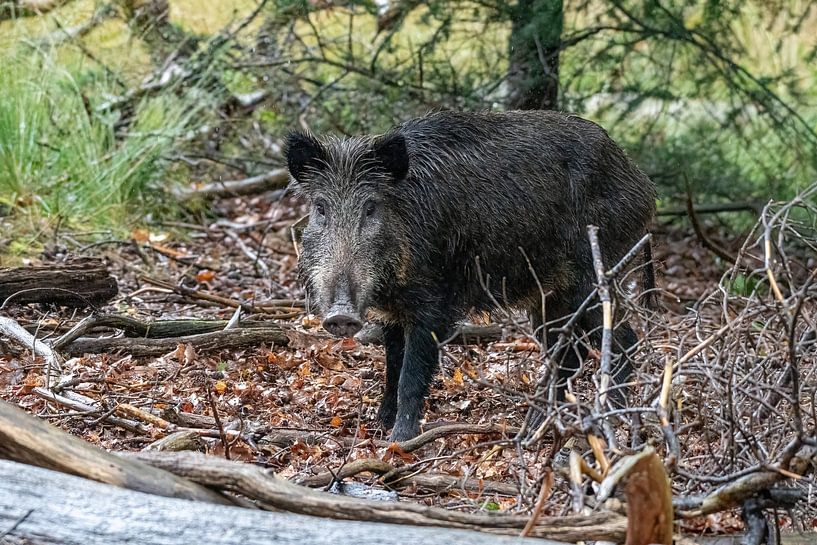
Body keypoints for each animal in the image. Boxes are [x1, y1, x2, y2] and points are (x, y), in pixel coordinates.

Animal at [286, 110, 656, 441]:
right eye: (320, 207)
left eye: (371, 207)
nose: (340, 315)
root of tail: (645, 188)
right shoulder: (391, 312)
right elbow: (392, 367)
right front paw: (380, 427)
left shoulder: (434, 304)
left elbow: (410, 375)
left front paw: (399, 441)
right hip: (549, 296)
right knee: (567, 355)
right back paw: (536, 427)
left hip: (595, 276)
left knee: (623, 341)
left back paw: (610, 415)